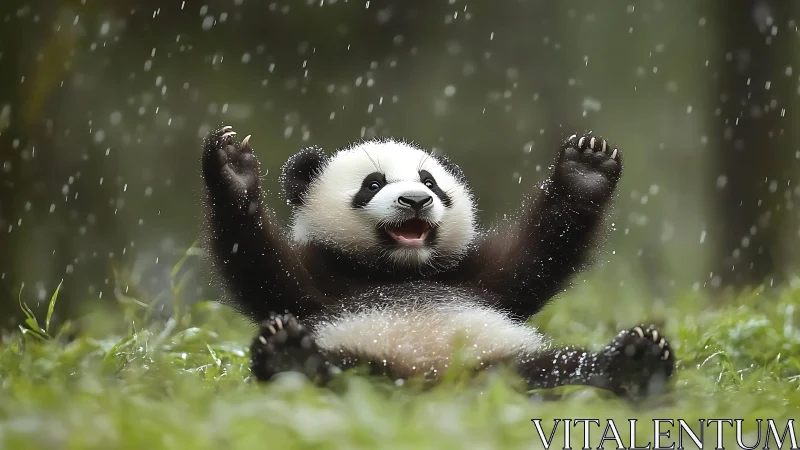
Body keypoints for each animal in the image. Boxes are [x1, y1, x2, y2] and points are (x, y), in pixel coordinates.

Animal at [200, 125, 675, 398]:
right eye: (373, 184)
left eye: (430, 182)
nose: (416, 200)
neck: (398, 270)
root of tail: (436, 382)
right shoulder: (322, 281)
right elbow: (265, 270)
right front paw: (232, 167)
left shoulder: (471, 276)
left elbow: (532, 259)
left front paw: (587, 166)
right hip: (363, 360)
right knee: (337, 371)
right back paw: (289, 356)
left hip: (509, 358)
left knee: (563, 367)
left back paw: (635, 361)